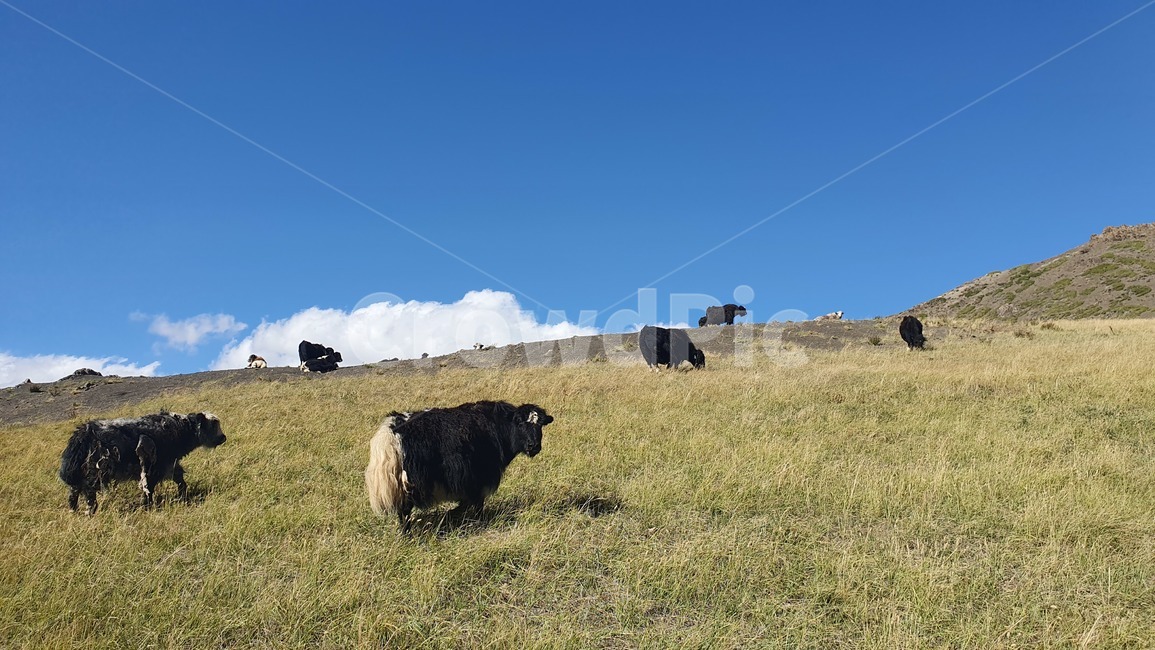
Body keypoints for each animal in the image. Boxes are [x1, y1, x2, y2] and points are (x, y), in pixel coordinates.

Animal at [58, 411, 227, 515]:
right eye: (212, 425)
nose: (223, 438)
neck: (180, 429)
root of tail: (81, 435)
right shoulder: (155, 468)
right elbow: (149, 488)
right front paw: (147, 505)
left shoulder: (170, 464)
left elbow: (180, 480)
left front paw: (182, 495)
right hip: (95, 472)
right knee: (88, 491)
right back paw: (90, 511)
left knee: (74, 492)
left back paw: (74, 512)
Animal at [365, 400, 554, 532]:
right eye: (520, 423)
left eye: (540, 425)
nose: (533, 446)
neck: (497, 426)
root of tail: (391, 432)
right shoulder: (479, 479)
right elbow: (475, 504)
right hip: (411, 485)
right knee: (404, 511)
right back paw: (407, 535)